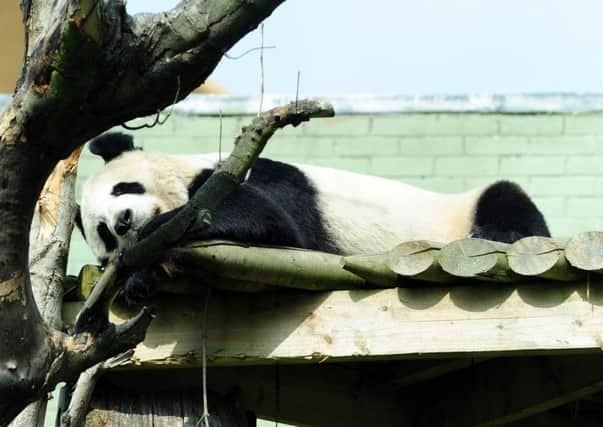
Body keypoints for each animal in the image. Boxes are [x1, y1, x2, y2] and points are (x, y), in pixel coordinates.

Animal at [75, 132, 552, 302]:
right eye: (103, 232)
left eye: (124, 188)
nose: (123, 222)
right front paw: (139, 278)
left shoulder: (241, 175)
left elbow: (273, 222)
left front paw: (157, 236)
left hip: (460, 208)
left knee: (507, 199)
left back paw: (495, 229)